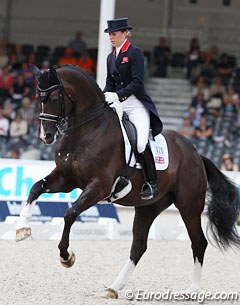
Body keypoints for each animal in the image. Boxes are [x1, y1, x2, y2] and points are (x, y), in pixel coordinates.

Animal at [15, 64, 240, 296]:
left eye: (53, 97)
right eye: (38, 97)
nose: (45, 136)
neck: (87, 130)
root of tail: (196, 154)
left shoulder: (100, 186)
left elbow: (70, 213)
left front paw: (66, 257)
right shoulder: (65, 179)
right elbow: (35, 188)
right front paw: (22, 229)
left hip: (189, 206)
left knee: (198, 242)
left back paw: (193, 289)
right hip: (148, 208)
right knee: (139, 245)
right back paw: (114, 287)